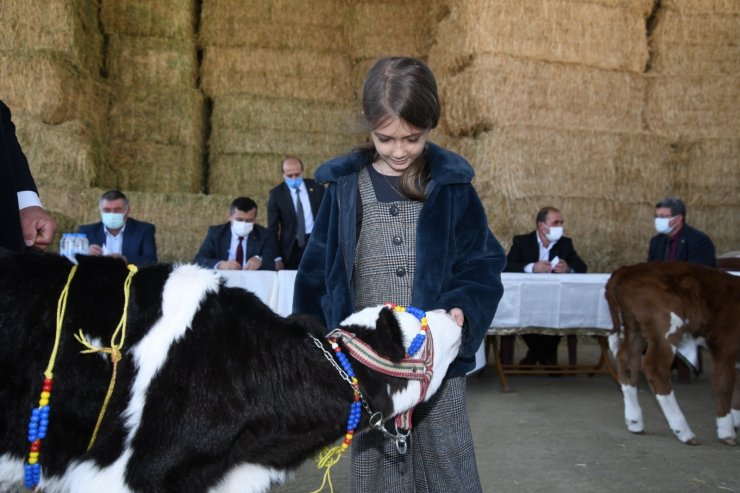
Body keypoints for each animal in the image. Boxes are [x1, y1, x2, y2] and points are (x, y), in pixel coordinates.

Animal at [608, 264, 740, 444]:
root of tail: (628, 270)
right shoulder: (726, 344)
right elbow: (724, 383)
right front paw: (727, 432)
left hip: (634, 325)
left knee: (627, 361)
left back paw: (635, 421)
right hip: (665, 327)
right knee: (655, 369)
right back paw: (684, 431)